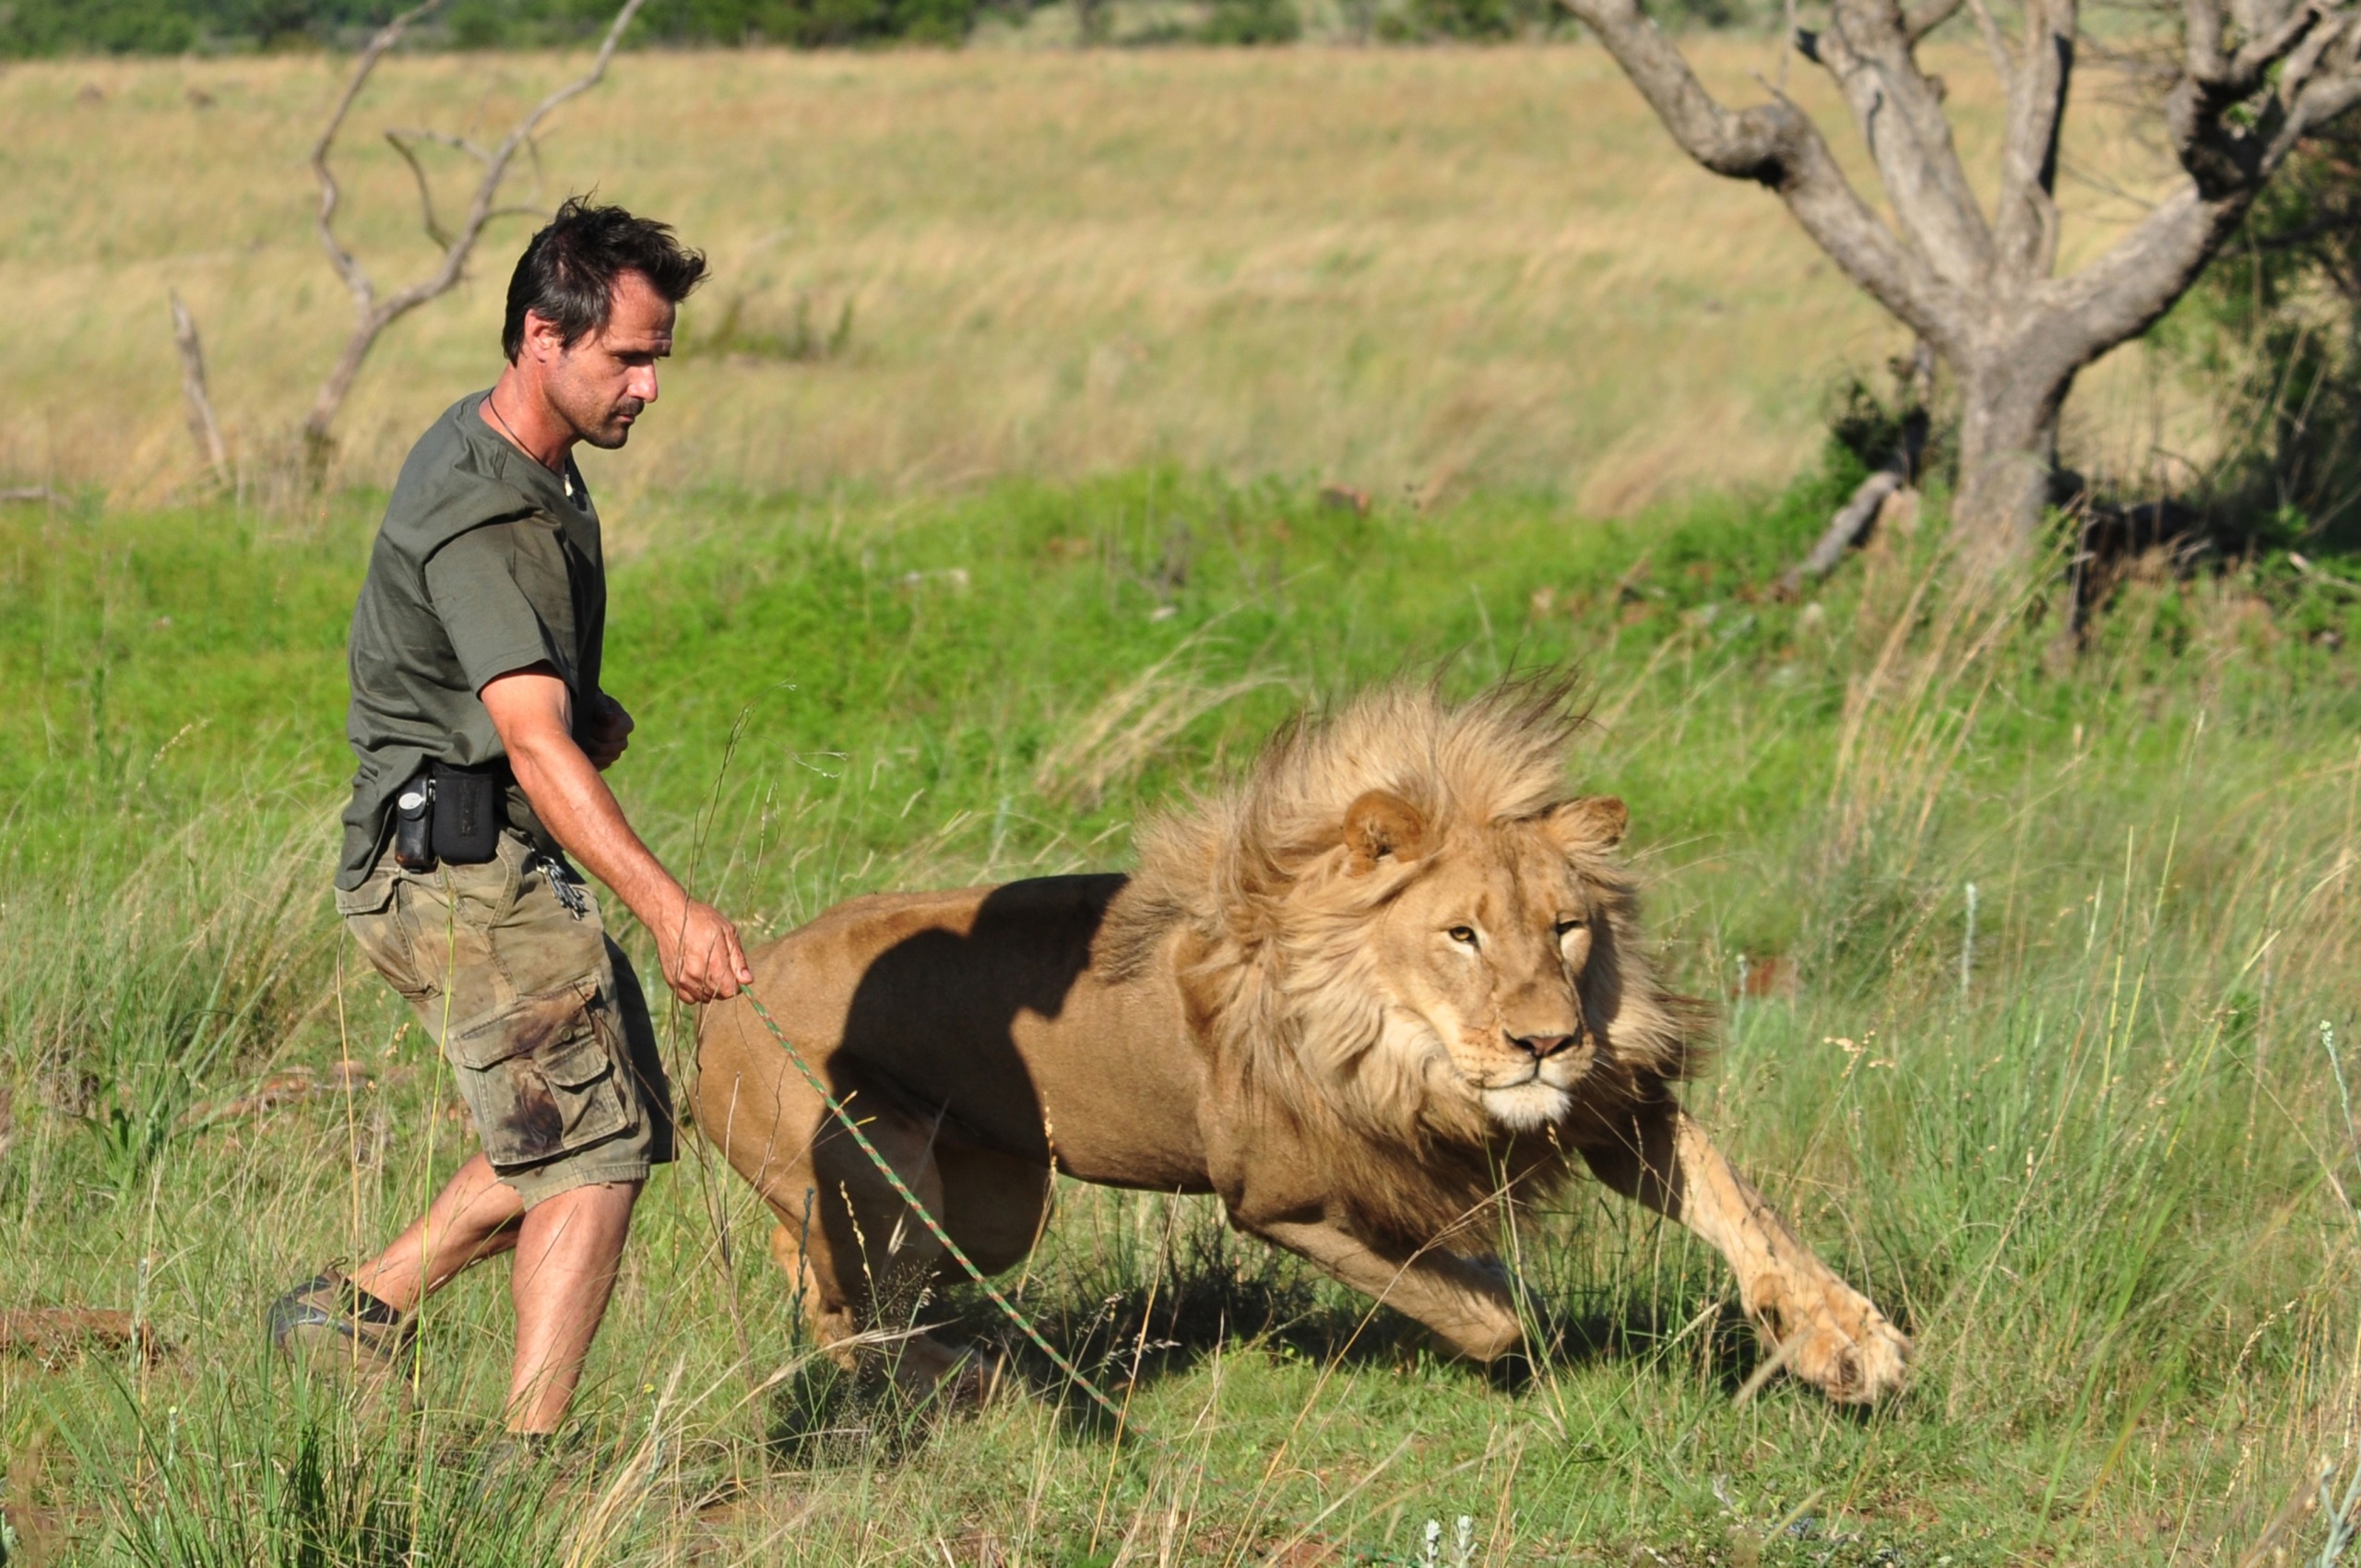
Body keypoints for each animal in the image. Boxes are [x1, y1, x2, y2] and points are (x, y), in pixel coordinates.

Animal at [689, 680, 1907, 1397]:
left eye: (1567, 927)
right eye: (1460, 932)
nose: (1545, 1041)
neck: (1400, 1045)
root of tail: (729, 984)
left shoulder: (1605, 1107)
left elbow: (1744, 1207)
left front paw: (1845, 1340)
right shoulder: (1278, 1197)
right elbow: (1480, 1311)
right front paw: (1493, 1295)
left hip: (991, 1209)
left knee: (836, 1278)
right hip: (889, 1185)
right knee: (840, 1306)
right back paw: (970, 1377)